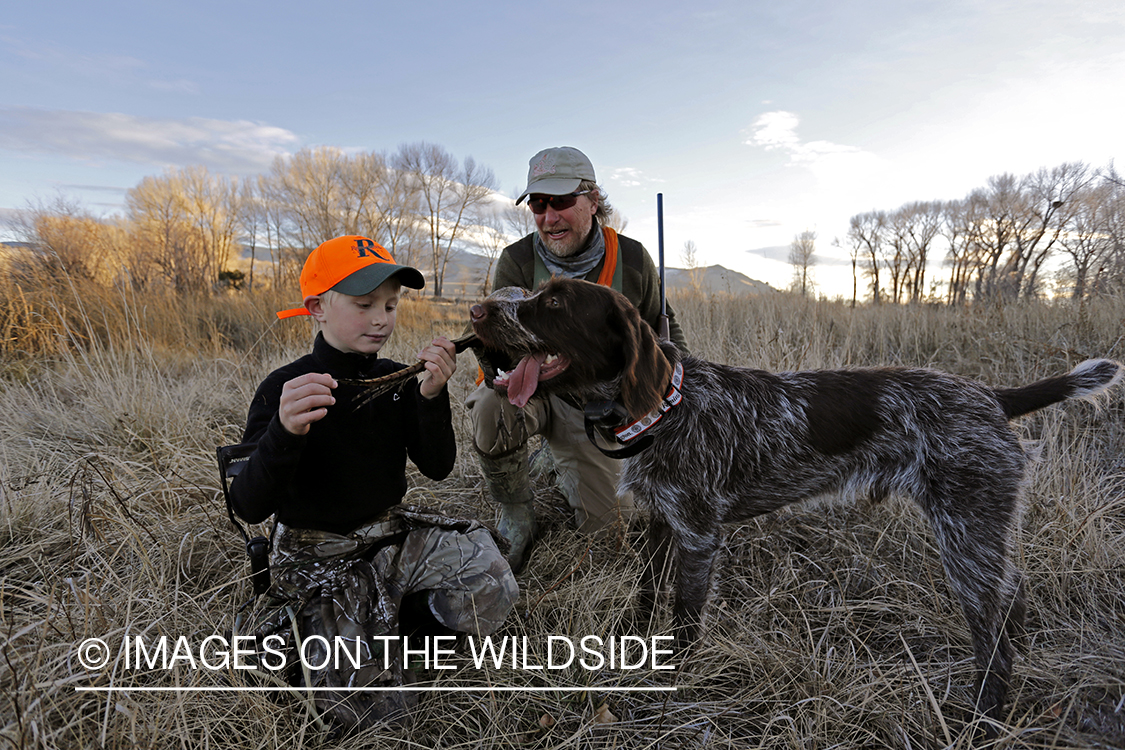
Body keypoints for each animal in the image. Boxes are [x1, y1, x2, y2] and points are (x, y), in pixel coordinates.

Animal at [470, 277, 1120, 728]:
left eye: (556, 301)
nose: (477, 311)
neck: (667, 409)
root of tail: (991, 397)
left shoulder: (699, 534)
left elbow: (683, 614)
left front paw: (673, 678)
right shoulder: (659, 521)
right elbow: (646, 593)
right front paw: (631, 646)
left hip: (967, 534)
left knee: (996, 635)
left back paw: (982, 719)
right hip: (982, 534)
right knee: (1011, 602)